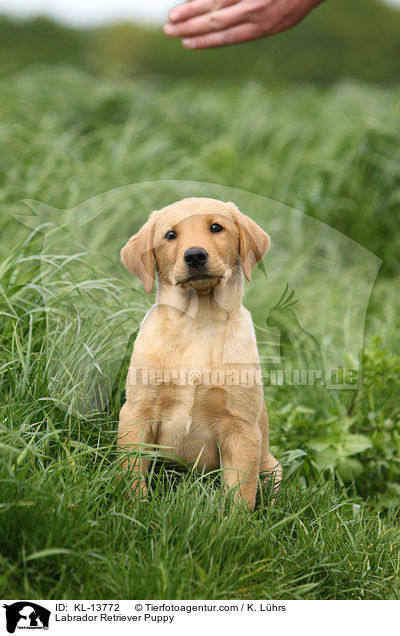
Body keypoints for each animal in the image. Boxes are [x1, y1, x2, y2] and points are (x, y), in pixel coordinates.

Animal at [118, 196, 282, 510]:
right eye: (170, 235)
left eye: (216, 227)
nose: (194, 256)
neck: (198, 323)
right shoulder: (137, 413)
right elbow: (132, 474)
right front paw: (135, 510)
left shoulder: (241, 428)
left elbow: (241, 492)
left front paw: (234, 522)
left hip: (272, 467)